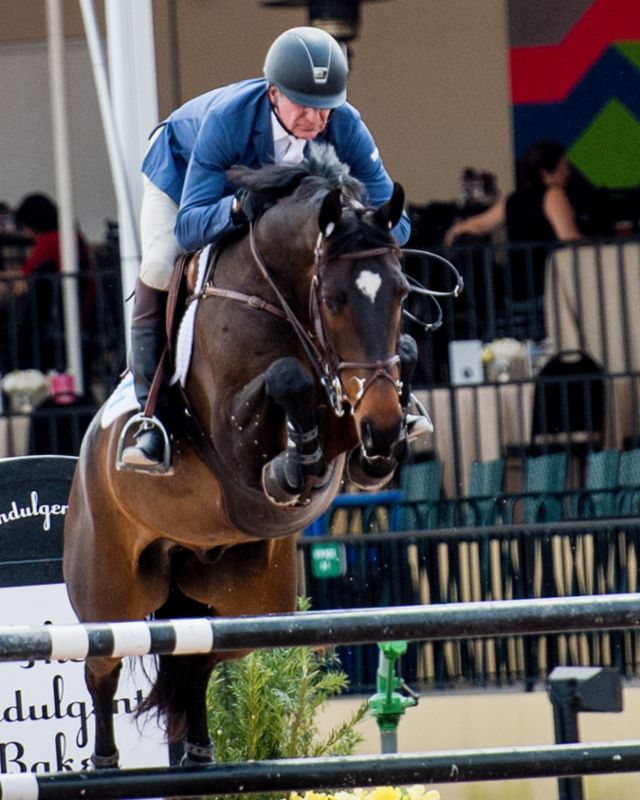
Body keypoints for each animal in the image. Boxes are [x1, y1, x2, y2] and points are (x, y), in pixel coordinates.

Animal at [62, 142, 412, 768]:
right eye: (333, 300)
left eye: (401, 293)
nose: (383, 431)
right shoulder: (231, 436)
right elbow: (286, 379)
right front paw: (292, 466)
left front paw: (358, 456)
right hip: (111, 592)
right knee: (102, 665)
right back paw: (104, 765)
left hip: (246, 604)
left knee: (198, 660)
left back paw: (200, 755)